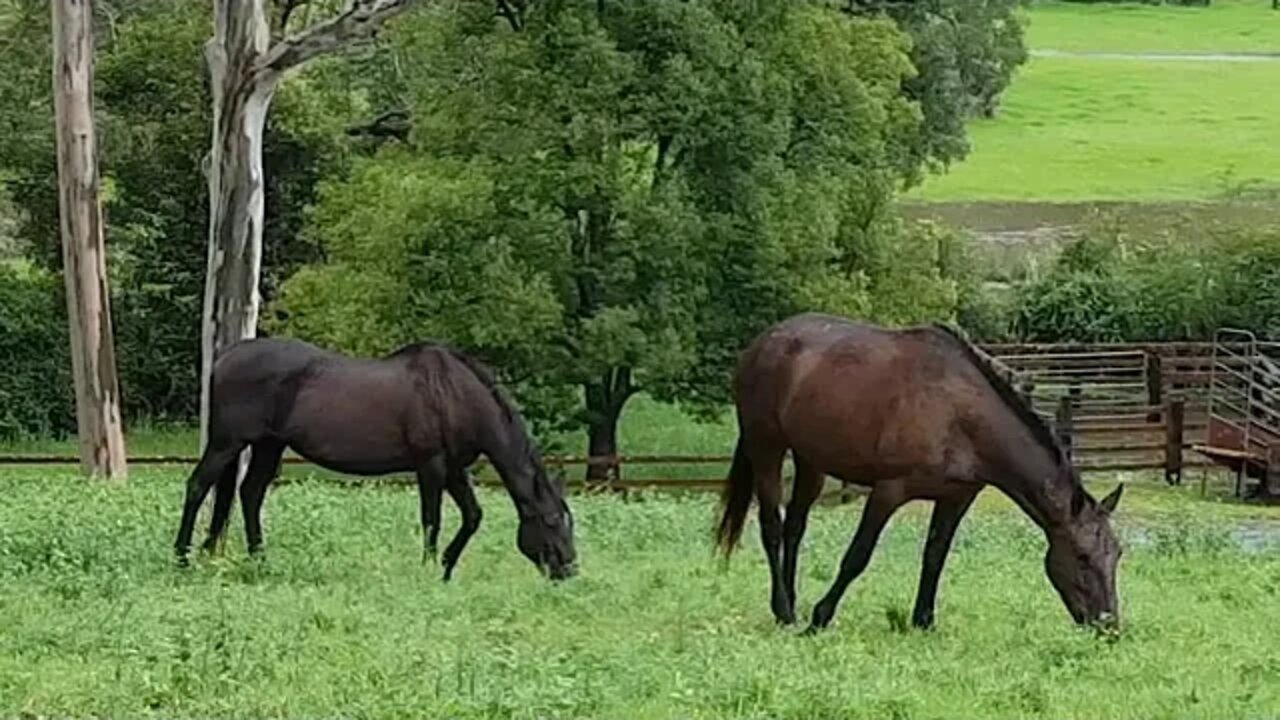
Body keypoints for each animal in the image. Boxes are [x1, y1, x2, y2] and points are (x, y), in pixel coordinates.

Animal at [171, 335, 576, 576]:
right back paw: (182, 558)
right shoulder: (430, 464)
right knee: (198, 486)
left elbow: (472, 516)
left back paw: (260, 561)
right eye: (553, 520)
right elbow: (432, 519)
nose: (569, 568)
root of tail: (225, 356)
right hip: (228, 442)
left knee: (249, 493)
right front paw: (428, 568)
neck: (453, 394)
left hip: (268, 445)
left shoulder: (454, 467)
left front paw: (446, 568)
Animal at [716, 312, 1126, 627]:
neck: (961, 414)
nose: (1108, 626)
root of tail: (759, 345)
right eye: (1083, 557)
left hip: (810, 460)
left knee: (795, 528)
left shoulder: (956, 497)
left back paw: (790, 604)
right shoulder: (888, 491)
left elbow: (934, 556)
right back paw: (785, 611)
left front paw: (923, 621)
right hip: (766, 447)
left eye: (1118, 554)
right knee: (771, 527)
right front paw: (821, 616)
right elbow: (857, 556)